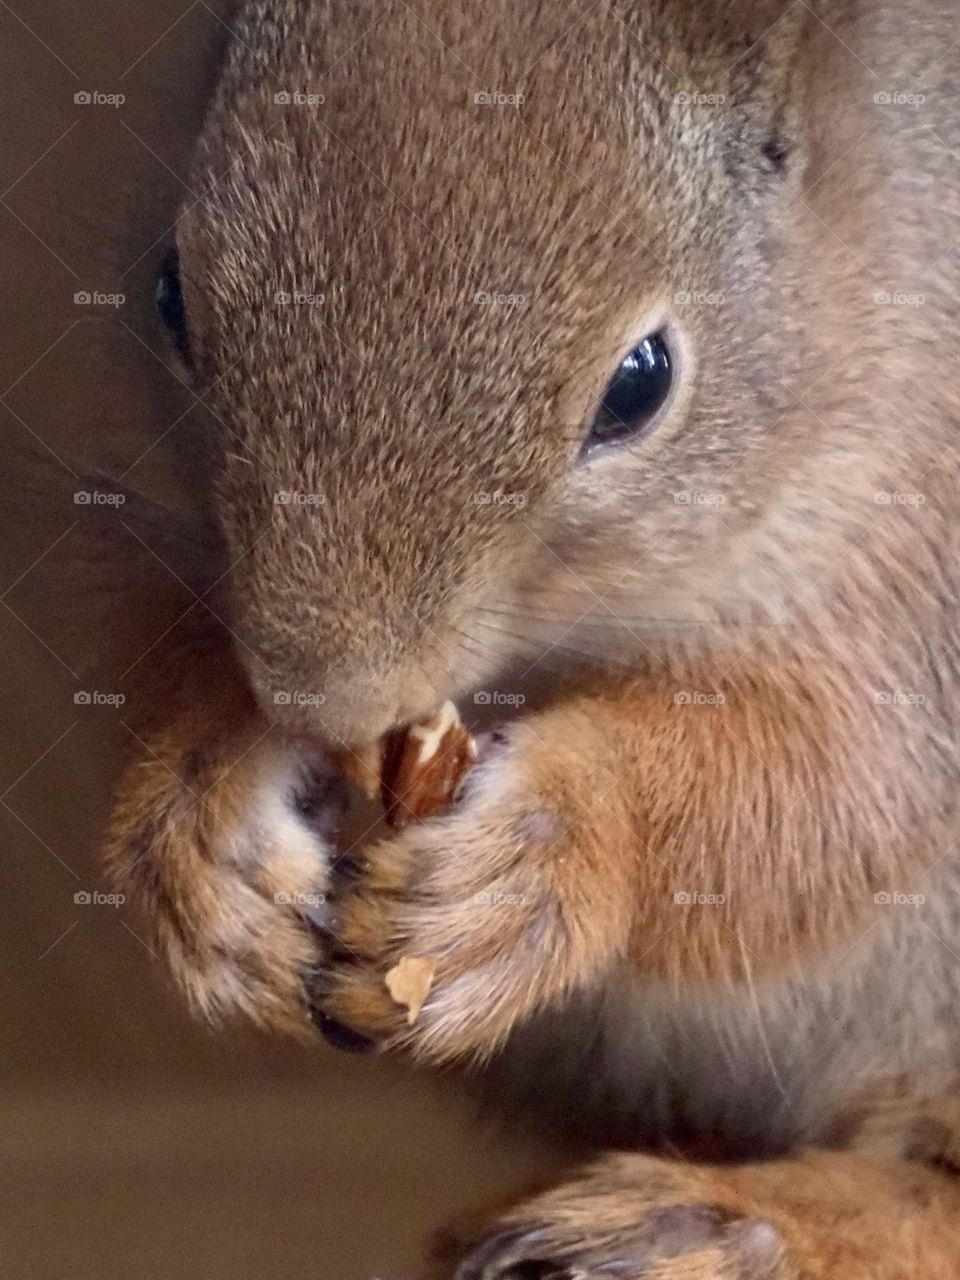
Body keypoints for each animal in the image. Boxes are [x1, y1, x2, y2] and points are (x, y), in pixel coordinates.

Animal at [105, 0, 960, 1275]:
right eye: (169, 296)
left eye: (640, 384)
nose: (332, 696)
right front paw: (202, 815)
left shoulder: (915, 570)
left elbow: (831, 794)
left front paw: (552, 840)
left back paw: (724, 1221)